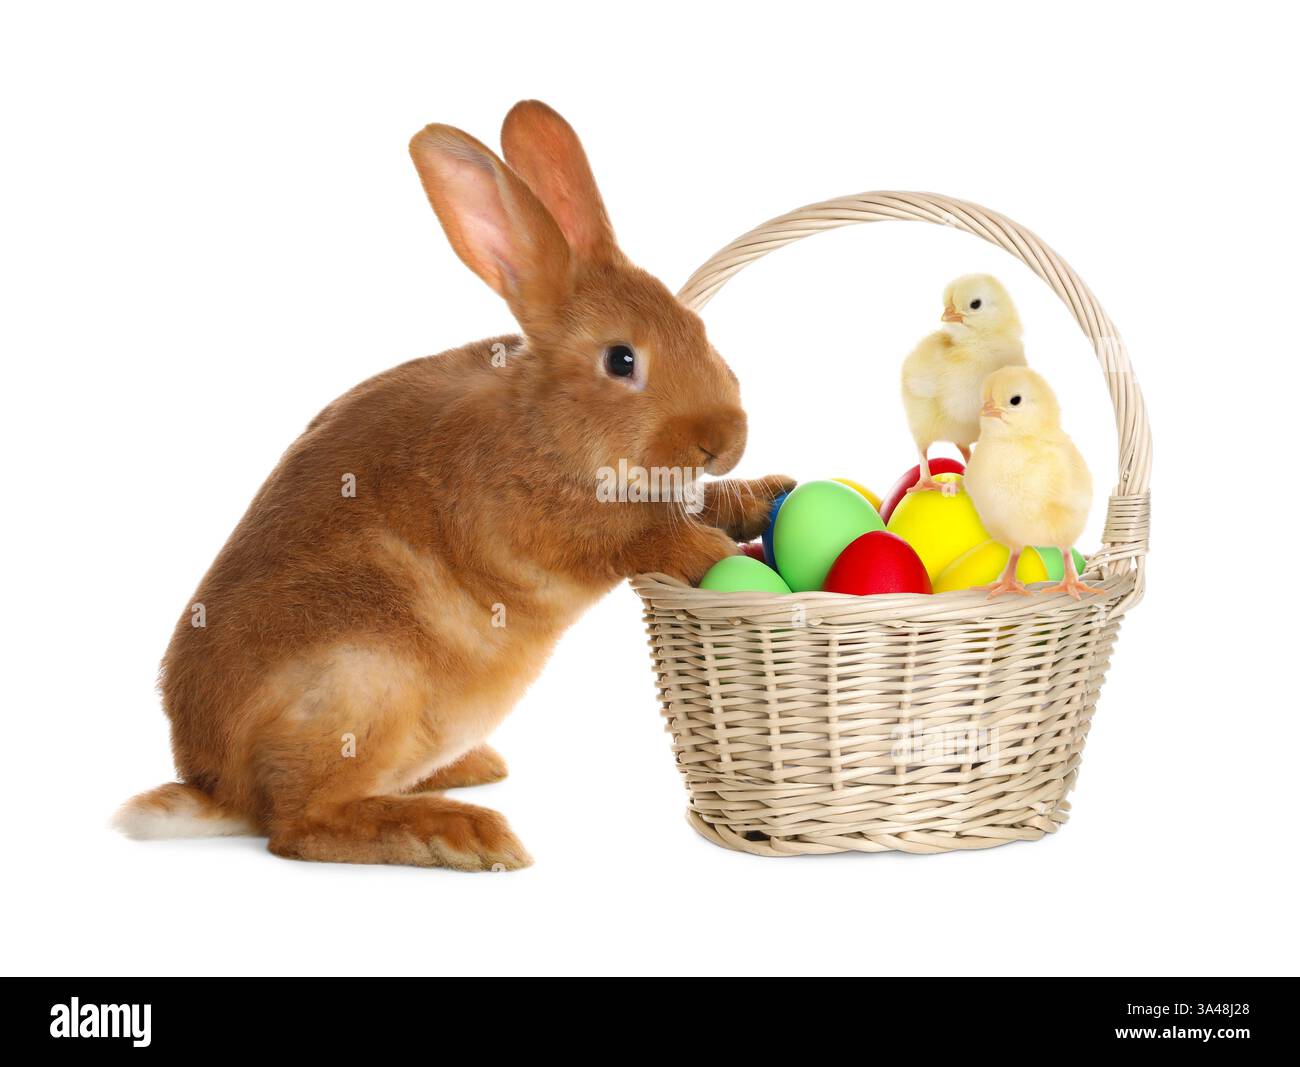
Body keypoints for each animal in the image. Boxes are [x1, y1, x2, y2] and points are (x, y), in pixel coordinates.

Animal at [113, 100, 793, 870]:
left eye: (698, 328)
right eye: (622, 360)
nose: (725, 438)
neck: (541, 424)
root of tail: (213, 788)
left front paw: (765, 493)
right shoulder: (537, 528)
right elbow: (640, 535)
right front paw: (713, 558)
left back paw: (471, 769)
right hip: (362, 678)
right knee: (301, 824)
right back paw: (464, 832)